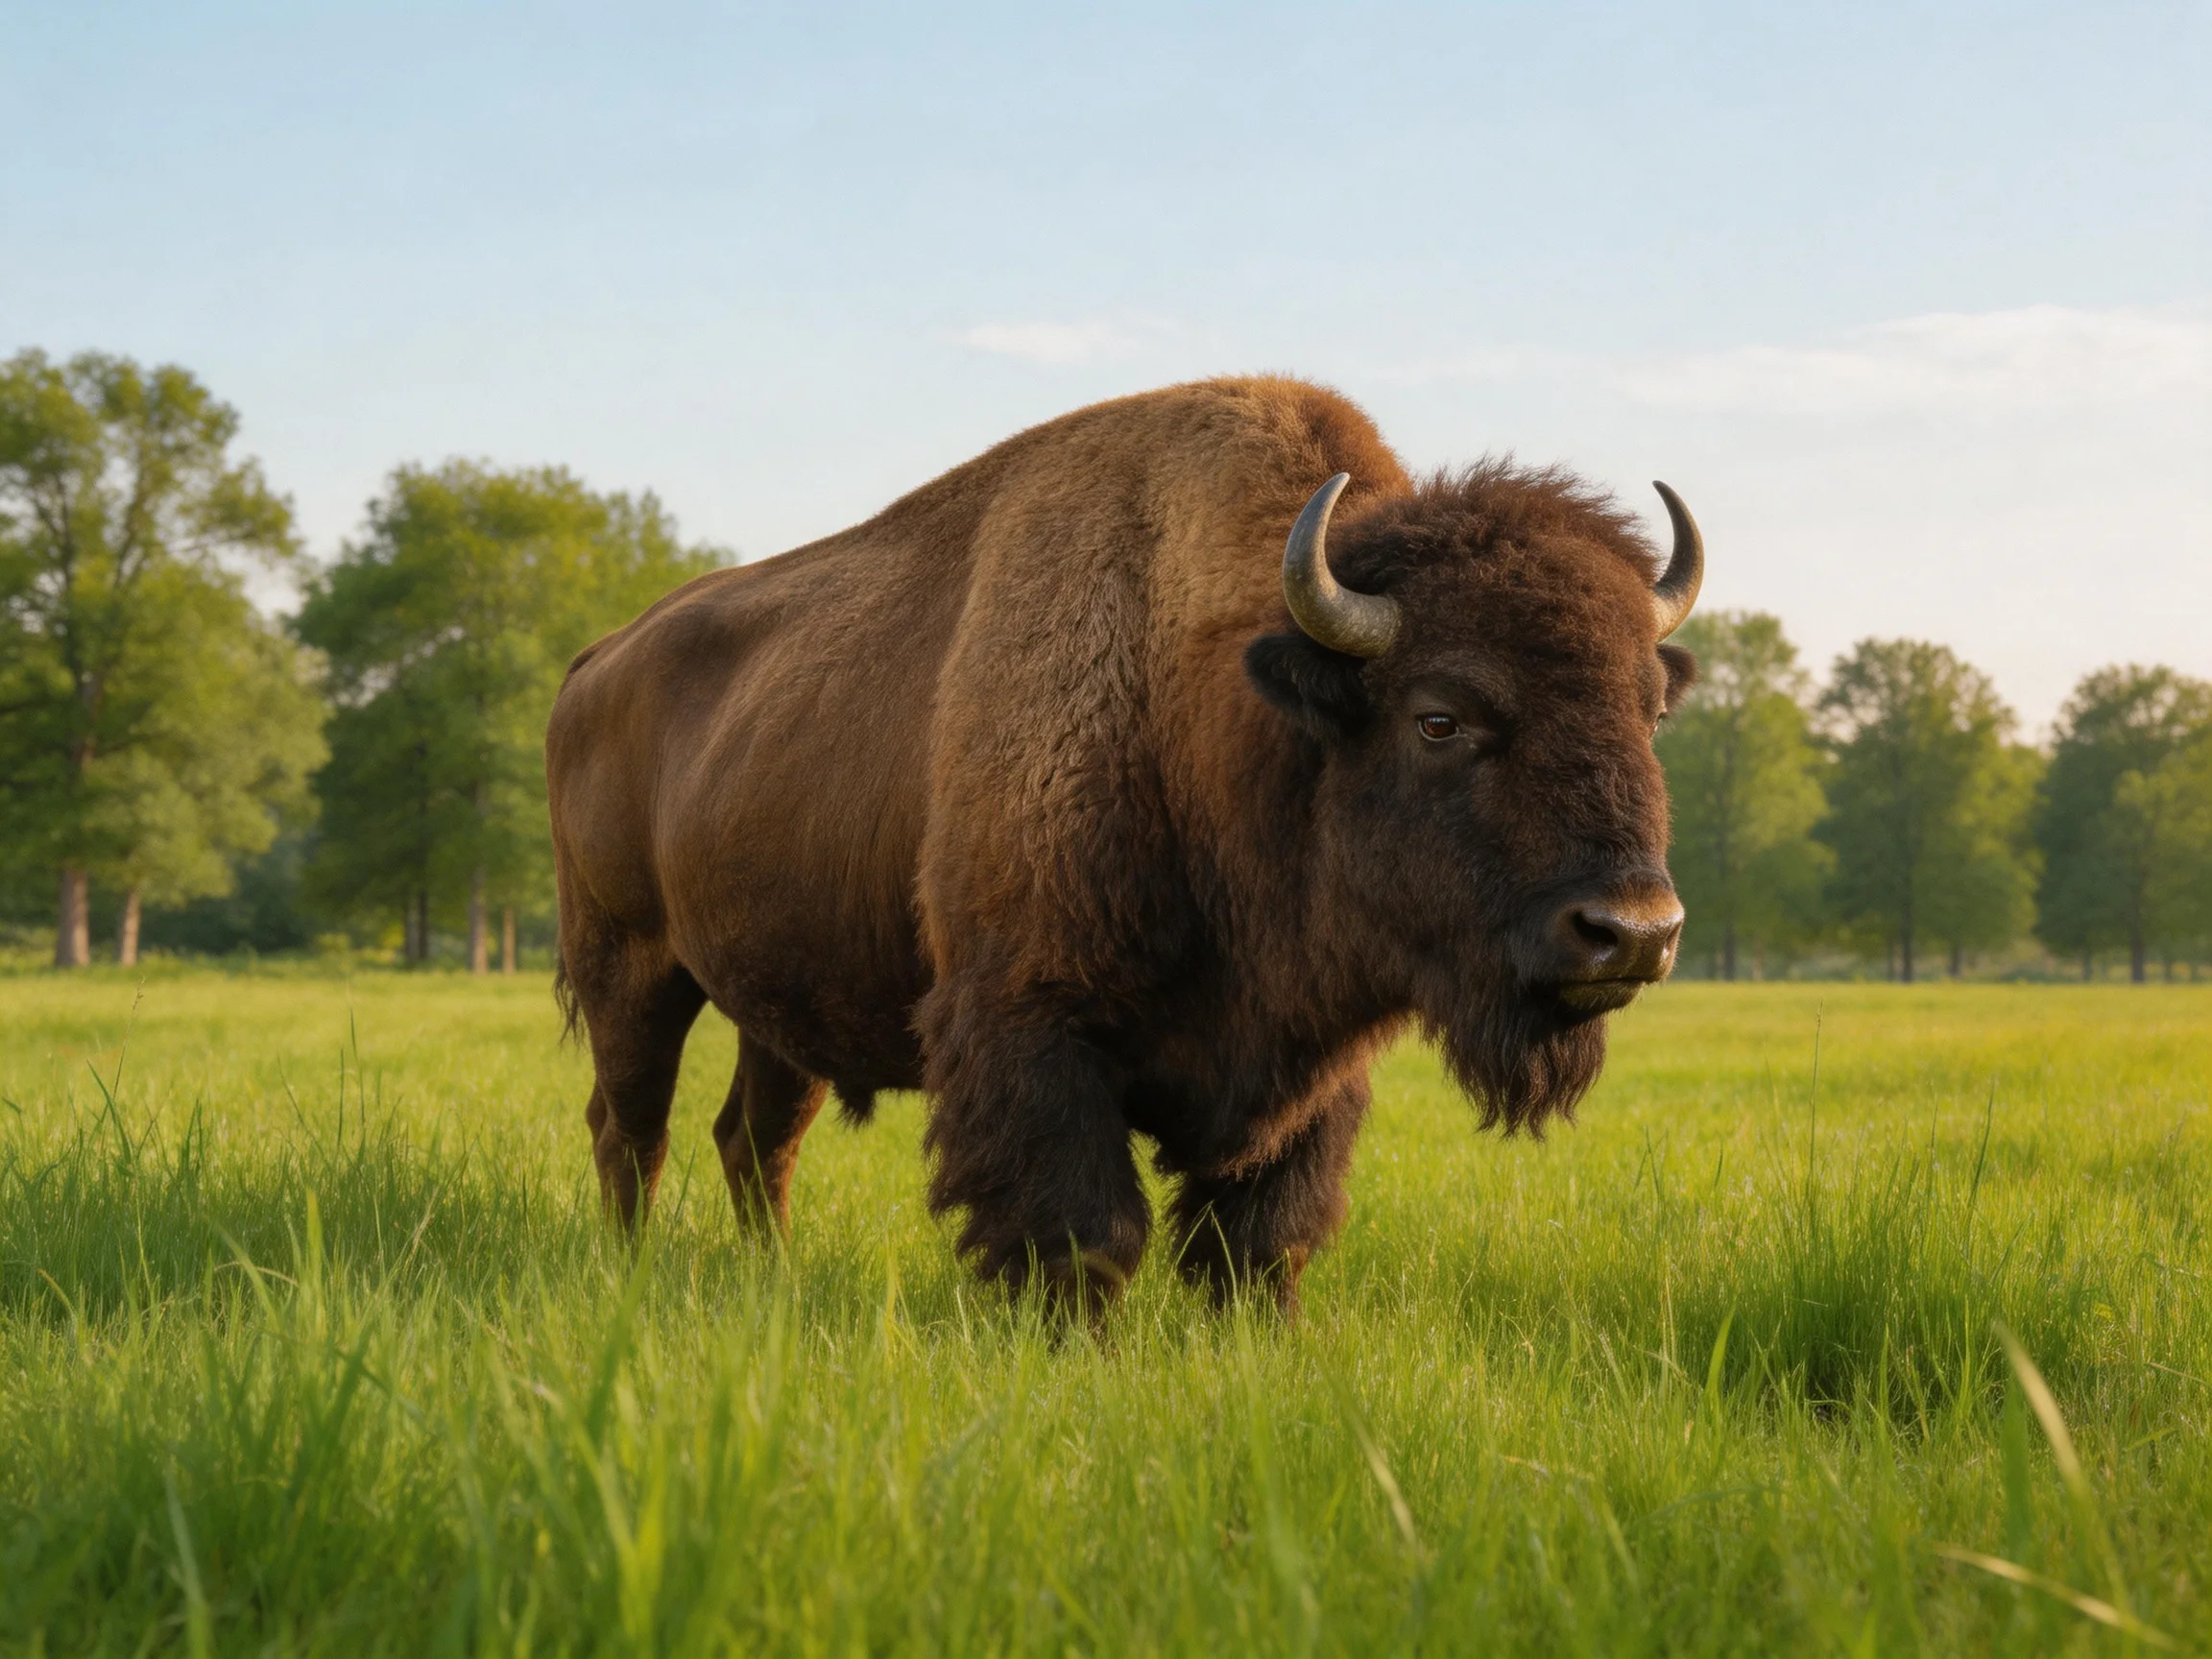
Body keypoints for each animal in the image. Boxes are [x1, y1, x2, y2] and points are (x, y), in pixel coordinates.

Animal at [546, 376, 1700, 1316]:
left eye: (1650, 709)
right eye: (1439, 718)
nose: (1634, 933)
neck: (1211, 698)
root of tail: (596, 659)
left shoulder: (1307, 1075)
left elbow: (1259, 1245)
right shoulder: (1032, 1029)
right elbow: (1085, 1238)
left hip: (777, 1006)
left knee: (753, 1138)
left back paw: (770, 1276)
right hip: (628, 965)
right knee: (628, 1124)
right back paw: (628, 1270)